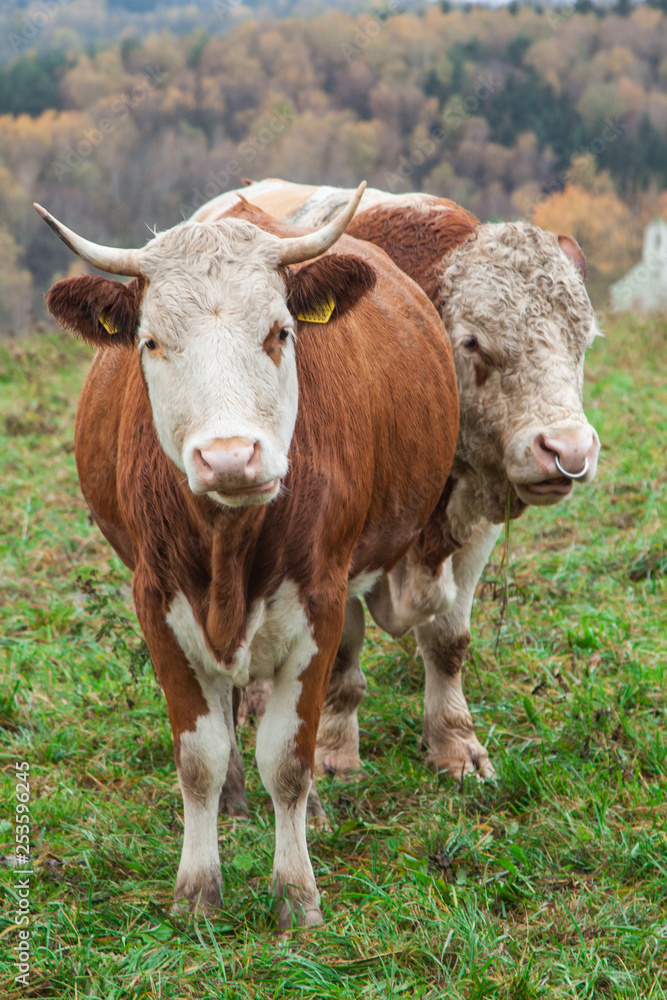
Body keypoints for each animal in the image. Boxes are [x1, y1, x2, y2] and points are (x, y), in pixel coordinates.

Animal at [36, 189, 462, 928]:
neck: (229, 544)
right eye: (151, 341)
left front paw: (296, 892)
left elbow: (289, 759)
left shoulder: (319, 603)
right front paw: (197, 890)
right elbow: (198, 758)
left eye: (280, 332)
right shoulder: (158, 602)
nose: (231, 457)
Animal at [196, 180, 604, 788]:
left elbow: (448, 640)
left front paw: (456, 744)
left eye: (584, 339)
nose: (569, 450)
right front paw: (334, 752)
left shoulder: (473, 523)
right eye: (473, 342)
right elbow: (341, 655)